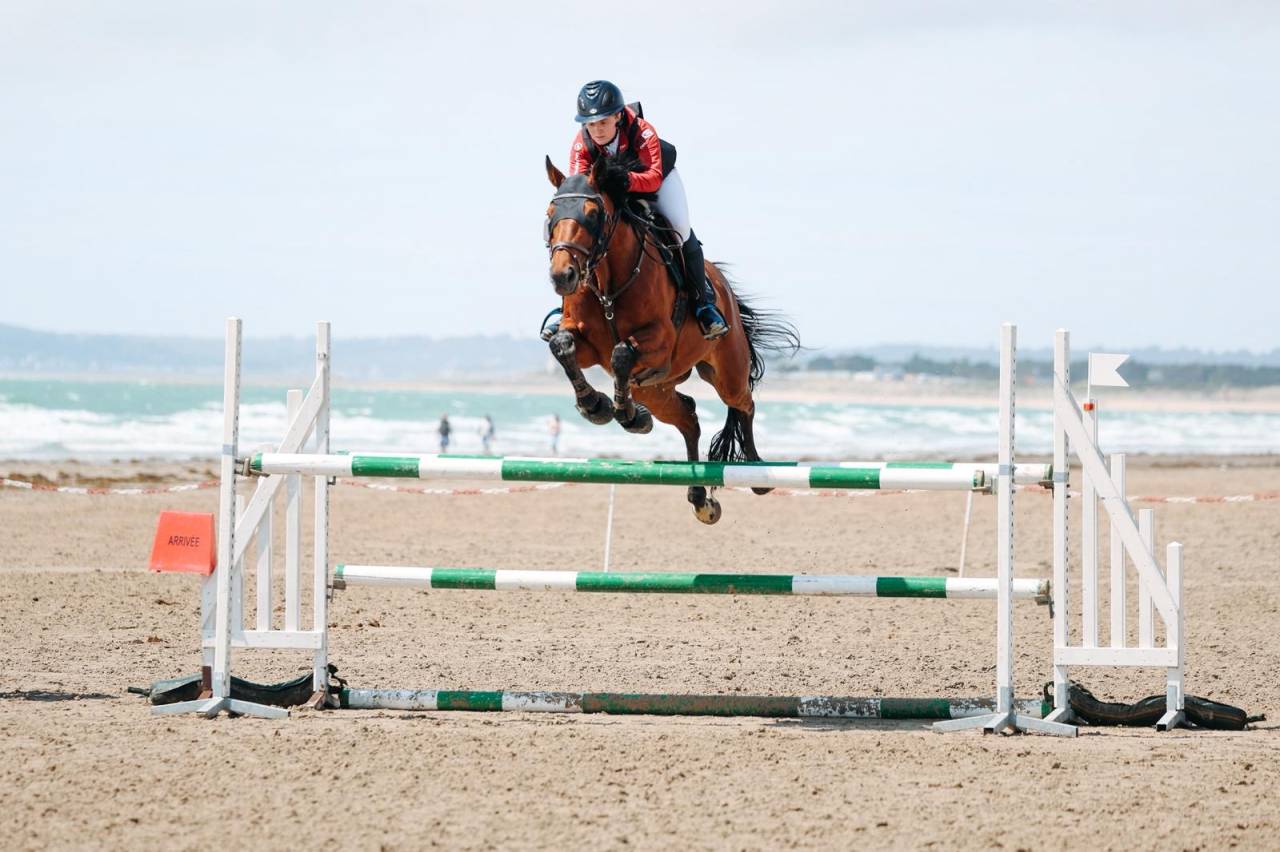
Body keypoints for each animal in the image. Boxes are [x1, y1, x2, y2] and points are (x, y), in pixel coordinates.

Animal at [543, 153, 800, 524]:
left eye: (592, 214)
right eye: (550, 214)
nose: (562, 276)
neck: (608, 285)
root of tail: (725, 290)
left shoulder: (659, 343)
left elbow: (621, 353)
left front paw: (622, 412)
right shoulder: (587, 345)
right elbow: (561, 346)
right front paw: (595, 405)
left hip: (725, 373)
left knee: (744, 404)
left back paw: (755, 472)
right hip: (656, 391)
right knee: (689, 418)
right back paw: (699, 497)